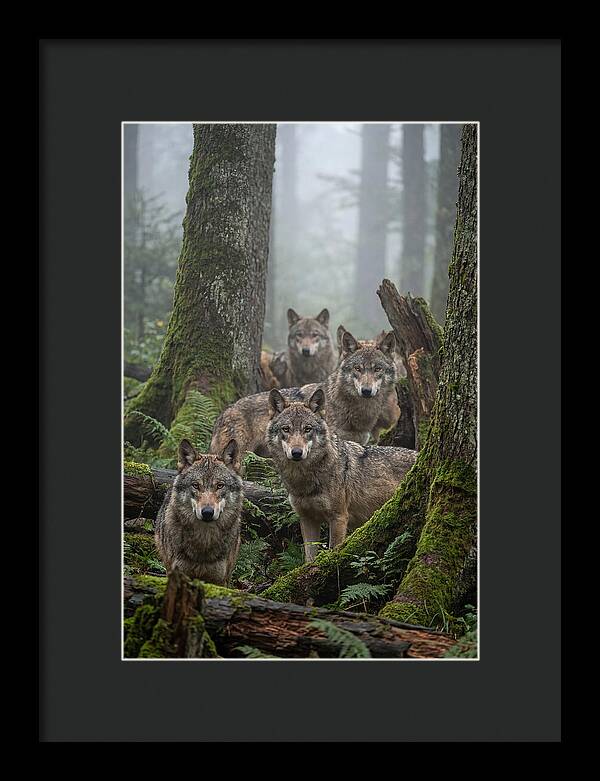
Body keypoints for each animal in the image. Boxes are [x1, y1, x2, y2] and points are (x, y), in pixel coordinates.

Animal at [266, 387, 417, 561]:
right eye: (286, 429)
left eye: (307, 429)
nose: (297, 453)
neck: (303, 480)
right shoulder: (307, 519)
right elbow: (309, 557)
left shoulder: (338, 518)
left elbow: (333, 550)